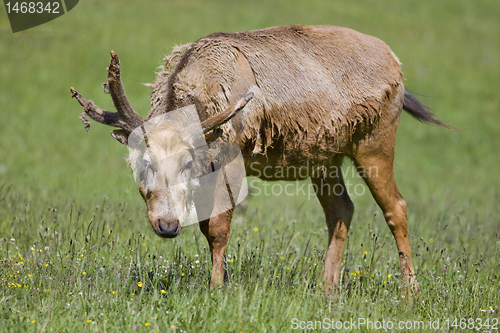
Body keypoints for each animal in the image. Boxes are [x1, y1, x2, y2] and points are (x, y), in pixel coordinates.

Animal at [69, 24, 450, 294]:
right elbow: (207, 226)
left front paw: (216, 289)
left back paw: (410, 291)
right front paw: (223, 280)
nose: (167, 225)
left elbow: (218, 227)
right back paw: (328, 288)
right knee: (342, 209)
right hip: (324, 157)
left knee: (396, 206)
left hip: (376, 139)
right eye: (143, 164)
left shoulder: (233, 155)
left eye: (187, 164)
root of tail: (398, 68)